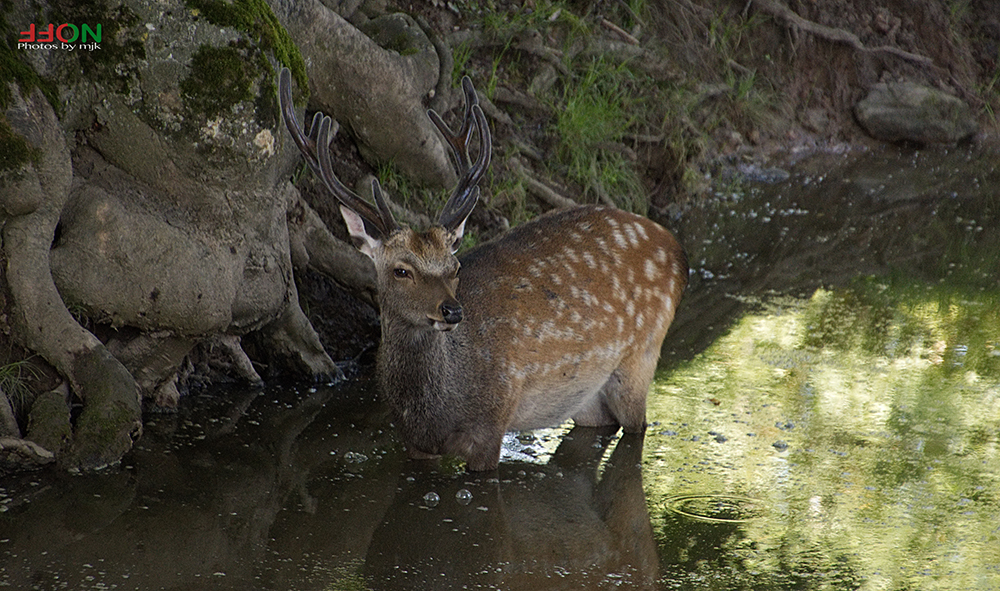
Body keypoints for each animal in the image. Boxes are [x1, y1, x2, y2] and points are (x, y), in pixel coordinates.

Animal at [276, 67, 688, 472]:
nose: (452, 311)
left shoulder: (492, 422)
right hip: (583, 394)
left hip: (641, 354)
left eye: (455, 266)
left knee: (637, 425)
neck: (433, 409)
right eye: (401, 270)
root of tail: (676, 249)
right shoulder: (414, 444)